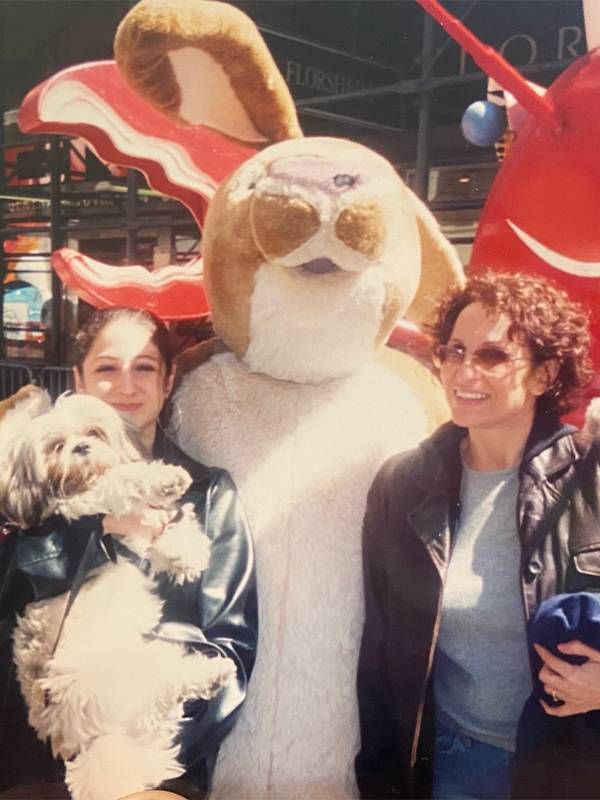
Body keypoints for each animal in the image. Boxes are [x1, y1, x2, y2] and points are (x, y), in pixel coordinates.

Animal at [0, 394, 236, 800]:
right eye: (56, 446)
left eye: (94, 432)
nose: (81, 447)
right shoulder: (83, 504)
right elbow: (118, 481)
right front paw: (161, 479)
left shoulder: (136, 534)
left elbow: (166, 530)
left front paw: (186, 550)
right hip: (126, 676)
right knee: (164, 689)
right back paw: (210, 674)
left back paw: (210, 674)